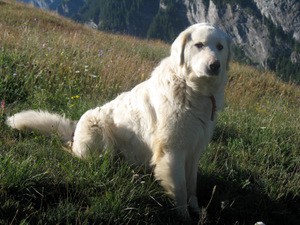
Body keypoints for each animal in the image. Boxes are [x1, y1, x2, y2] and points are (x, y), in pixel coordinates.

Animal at [7, 23, 232, 220]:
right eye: (199, 45)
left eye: (220, 47)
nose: (215, 66)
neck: (193, 90)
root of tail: (74, 133)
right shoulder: (172, 151)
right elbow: (181, 189)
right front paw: (184, 217)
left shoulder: (194, 150)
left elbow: (192, 186)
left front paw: (197, 211)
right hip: (98, 130)